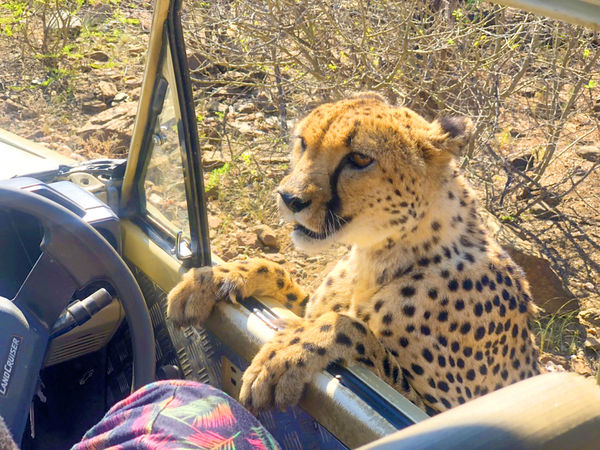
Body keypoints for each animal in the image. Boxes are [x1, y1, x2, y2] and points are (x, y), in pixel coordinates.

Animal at [166, 92, 540, 414]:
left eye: (359, 158)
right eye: (303, 142)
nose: (289, 198)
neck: (377, 255)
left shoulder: (439, 408)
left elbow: (349, 326)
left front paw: (288, 350)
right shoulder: (311, 301)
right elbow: (282, 276)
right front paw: (218, 276)